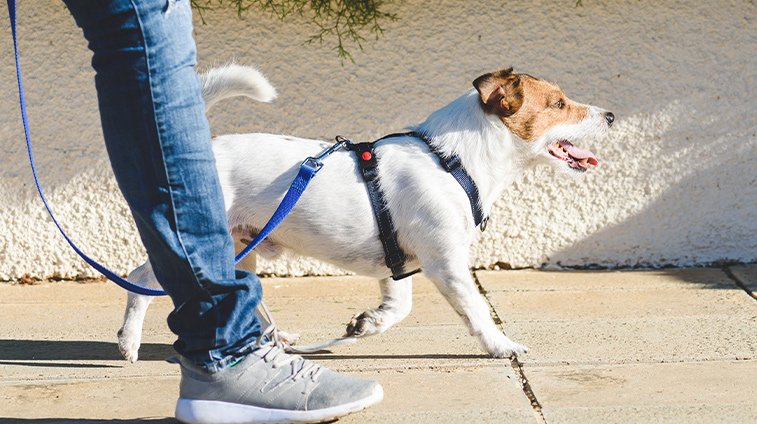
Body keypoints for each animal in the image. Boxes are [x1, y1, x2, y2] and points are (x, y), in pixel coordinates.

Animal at [118, 63, 616, 362]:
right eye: (558, 104)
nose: (611, 115)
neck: (453, 160)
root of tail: (204, 150)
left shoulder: (400, 263)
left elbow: (397, 308)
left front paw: (367, 324)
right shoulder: (447, 264)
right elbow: (476, 312)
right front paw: (502, 345)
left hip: (243, 248)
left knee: (246, 295)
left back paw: (276, 340)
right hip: (203, 244)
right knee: (141, 280)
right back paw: (129, 342)